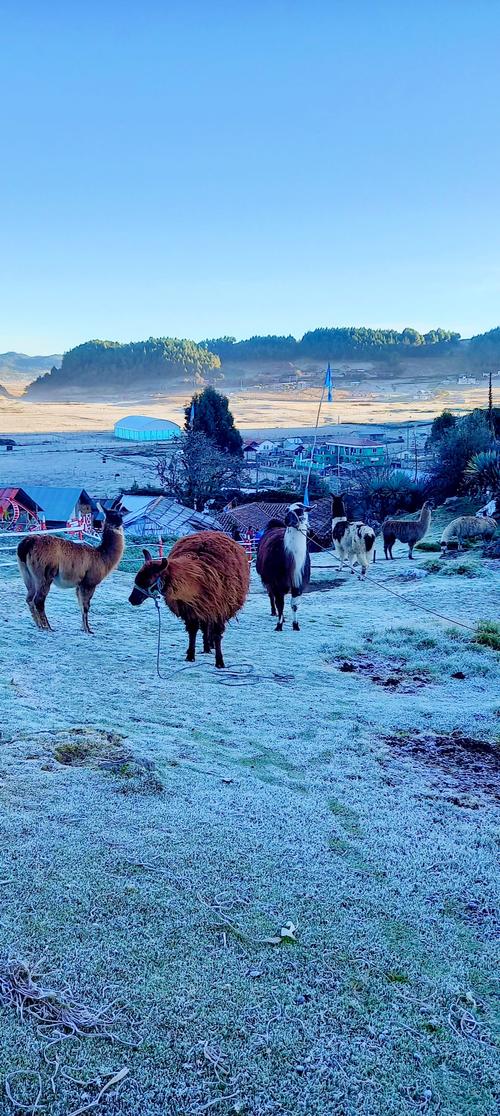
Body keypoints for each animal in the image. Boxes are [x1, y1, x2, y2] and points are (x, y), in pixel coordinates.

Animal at [17, 501, 125, 633]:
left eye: (120, 514)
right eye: (112, 515)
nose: (120, 522)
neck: (102, 556)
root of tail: (28, 543)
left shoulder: (79, 584)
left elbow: (80, 605)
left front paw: (83, 628)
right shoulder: (89, 582)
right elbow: (86, 605)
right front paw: (88, 630)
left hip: (26, 573)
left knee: (29, 598)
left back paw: (39, 625)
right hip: (44, 572)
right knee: (39, 600)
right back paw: (48, 627)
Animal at [129, 531, 249, 668]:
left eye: (148, 581)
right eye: (137, 579)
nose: (132, 599)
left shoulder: (220, 608)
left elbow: (217, 634)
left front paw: (219, 662)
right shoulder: (190, 609)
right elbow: (192, 632)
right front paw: (190, 656)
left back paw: (210, 646)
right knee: (205, 626)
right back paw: (206, 647)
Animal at [256, 502, 311, 631]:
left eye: (300, 510)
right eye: (287, 510)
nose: (287, 520)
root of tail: (274, 526)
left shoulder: (298, 582)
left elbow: (294, 605)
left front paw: (296, 625)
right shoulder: (276, 581)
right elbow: (280, 604)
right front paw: (279, 625)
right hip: (267, 577)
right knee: (271, 596)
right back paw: (274, 613)